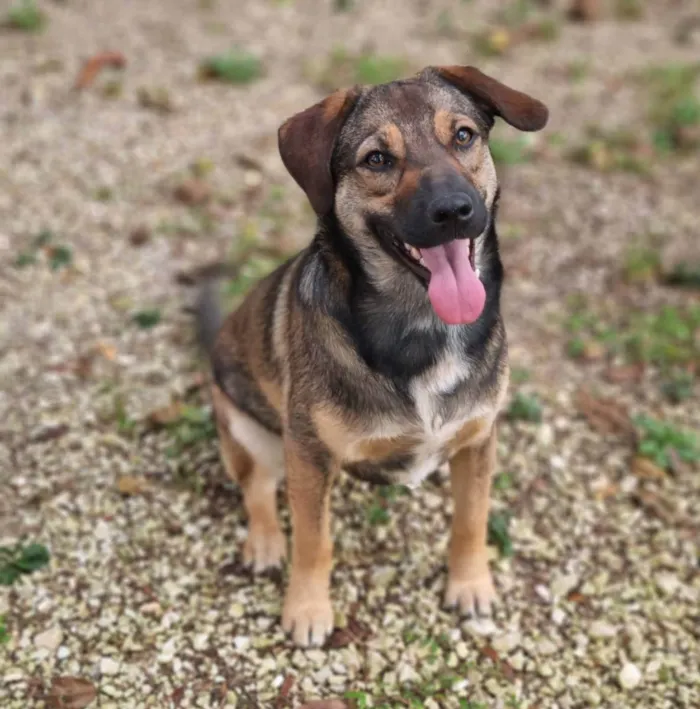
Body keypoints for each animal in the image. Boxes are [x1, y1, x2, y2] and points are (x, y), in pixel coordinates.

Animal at [196, 66, 548, 648]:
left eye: (464, 136)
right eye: (377, 159)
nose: (455, 211)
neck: (423, 325)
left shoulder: (479, 440)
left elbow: (471, 518)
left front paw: (470, 583)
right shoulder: (308, 452)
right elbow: (313, 540)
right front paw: (308, 609)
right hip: (247, 428)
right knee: (258, 488)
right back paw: (265, 542)